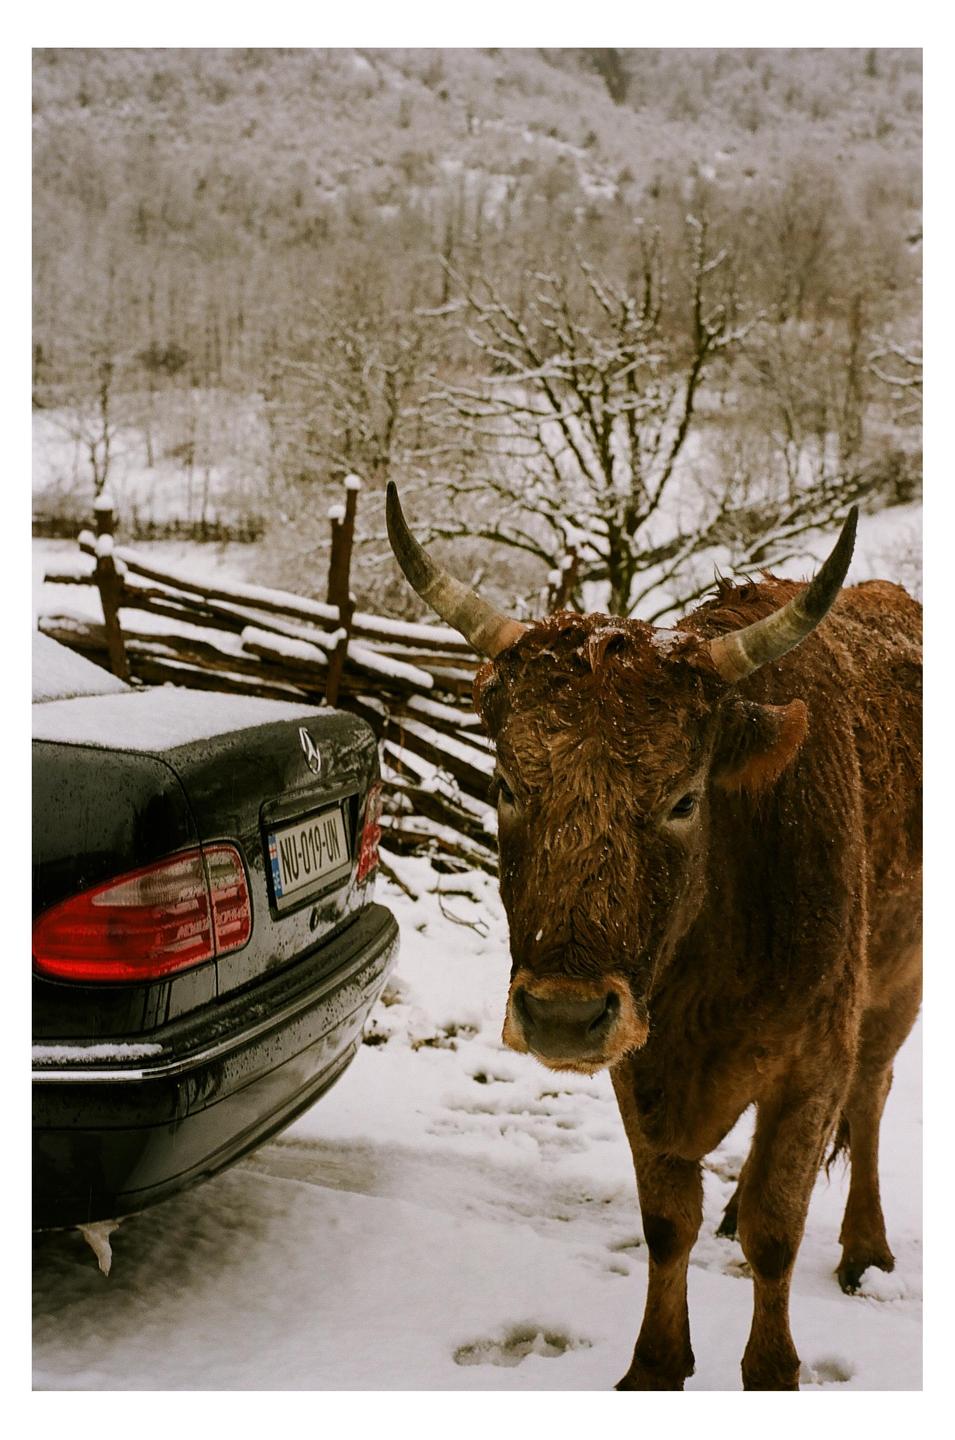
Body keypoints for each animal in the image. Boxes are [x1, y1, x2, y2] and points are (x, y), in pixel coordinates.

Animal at [386, 482, 922, 1391]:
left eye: (683, 797)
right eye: (505, 785)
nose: (562, 1015)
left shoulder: (814, 1056)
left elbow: (778, 1230)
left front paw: (771, 1366)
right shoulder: (636, 1062)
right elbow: (667, 1220)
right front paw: (655, 1364)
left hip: (896, 986)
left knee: (871, 1094)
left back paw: (864, 1246)